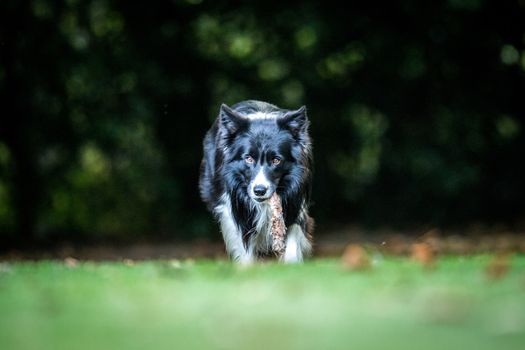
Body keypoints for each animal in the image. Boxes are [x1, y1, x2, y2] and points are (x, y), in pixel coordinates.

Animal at [198, 100, 312, 262]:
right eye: (248, 158)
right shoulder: (232, 208)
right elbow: (243, 245)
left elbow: (294, 237)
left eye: (276, 160)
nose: (259, 191)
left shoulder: (296, 205)